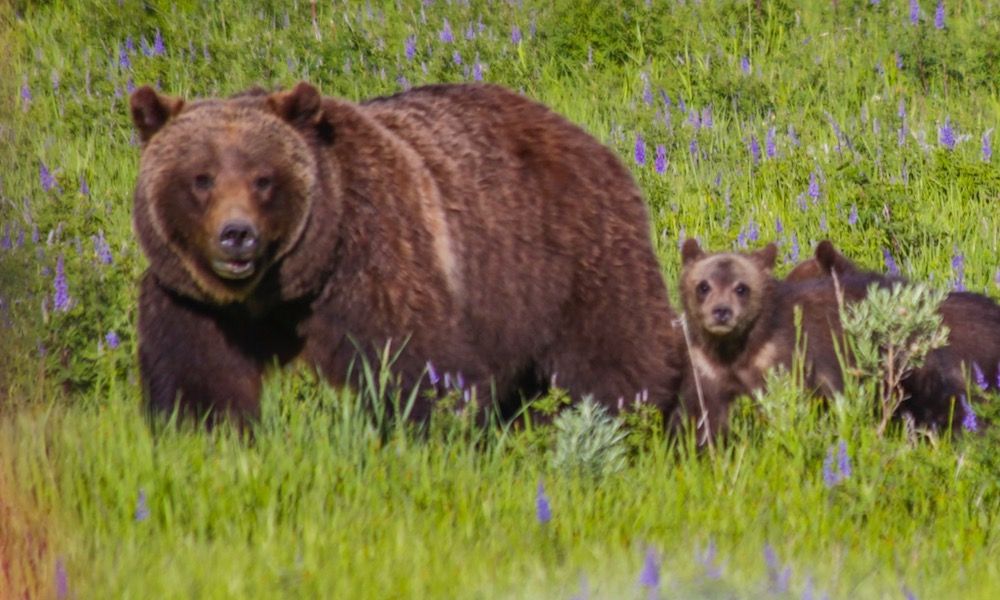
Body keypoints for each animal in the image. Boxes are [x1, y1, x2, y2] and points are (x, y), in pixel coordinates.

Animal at [129, 81, 684, 426]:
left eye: (263, 179)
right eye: (201, 179)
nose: (236, 235)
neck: (284, 288)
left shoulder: (372, 258)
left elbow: (419, 362)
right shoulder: (195, 303)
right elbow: (199, 380)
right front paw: (206, 431)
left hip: (568, 256)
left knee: (613, 352)